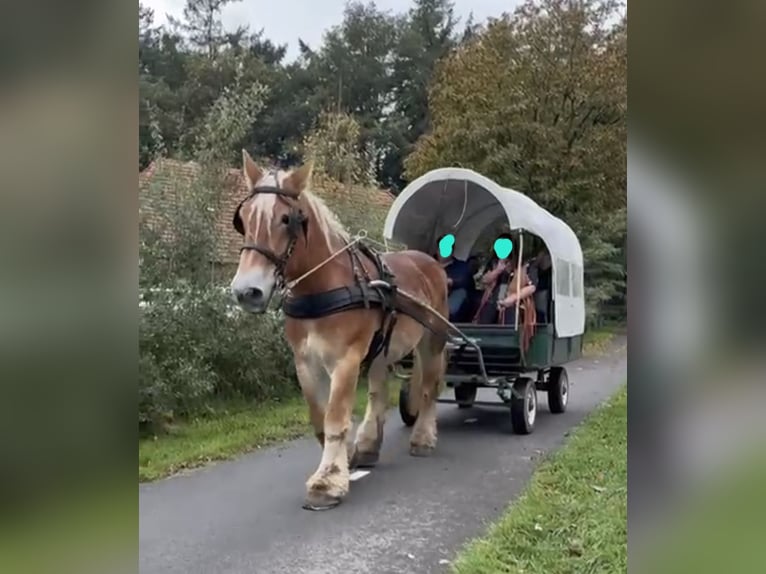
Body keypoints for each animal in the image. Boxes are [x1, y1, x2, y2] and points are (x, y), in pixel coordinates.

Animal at [231, 151, 452, 510]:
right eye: (245, 218)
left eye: (286, 219)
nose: (246, 291)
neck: (322, 287)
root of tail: (429, 261)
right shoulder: (304, 362)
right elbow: (319, 418)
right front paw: (342, 462)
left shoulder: (346, 360)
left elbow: (336, 417)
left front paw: (328, 482)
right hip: (381, 348)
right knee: (378, 394)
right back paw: (368, 446)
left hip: (432, 339)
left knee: (428, 387)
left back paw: (422, 438)